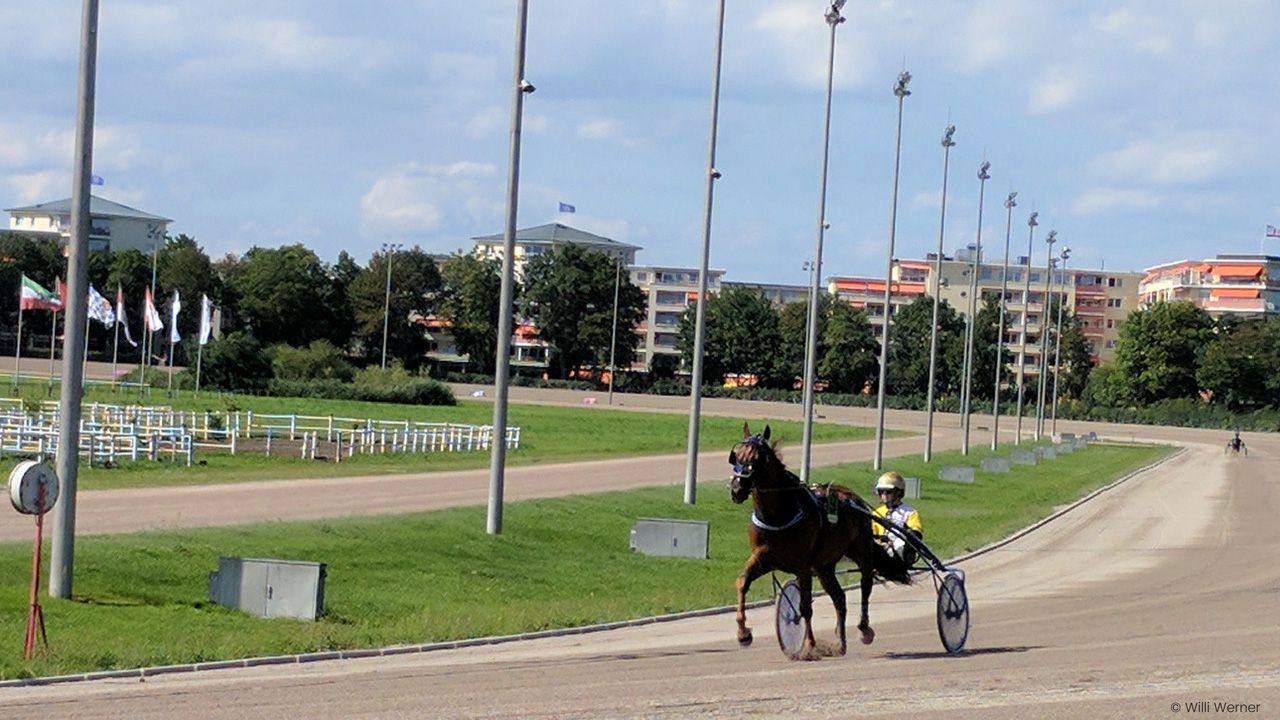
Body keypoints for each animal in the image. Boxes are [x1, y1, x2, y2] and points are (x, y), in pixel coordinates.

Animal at [732, 420, 890, 655]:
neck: (779, 514)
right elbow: (743, 582)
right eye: (736, 456)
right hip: (824, 566)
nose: (736, 489)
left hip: (861, 550)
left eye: (757, 459)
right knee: (839, 597)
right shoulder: (765, 557)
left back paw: (864, 629)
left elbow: (805, 606)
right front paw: (743, 633)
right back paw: (840, 642)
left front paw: (809, 645)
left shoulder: (803, 565)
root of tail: (853, 498)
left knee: (866, 583)